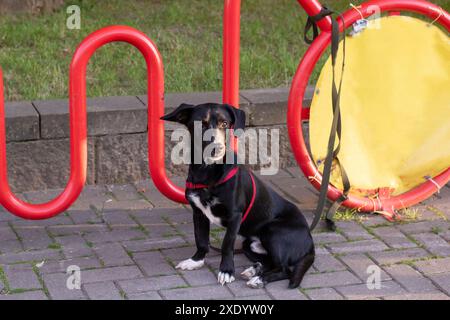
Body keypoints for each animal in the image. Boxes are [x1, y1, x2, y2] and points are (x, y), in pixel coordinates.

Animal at [161, 104, 312, 288]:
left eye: (225, 124)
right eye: (201, 124)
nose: (216, 148)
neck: (208, 173)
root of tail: (310, 243)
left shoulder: (235, 216)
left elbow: (227, 244)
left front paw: (226, 271)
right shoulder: (198, 213)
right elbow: (201, 240)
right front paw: (196, 261)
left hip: (272, 231)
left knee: (285, 269)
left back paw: (259, 278)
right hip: (249, 244)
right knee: (270, 262)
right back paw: (254, 270)